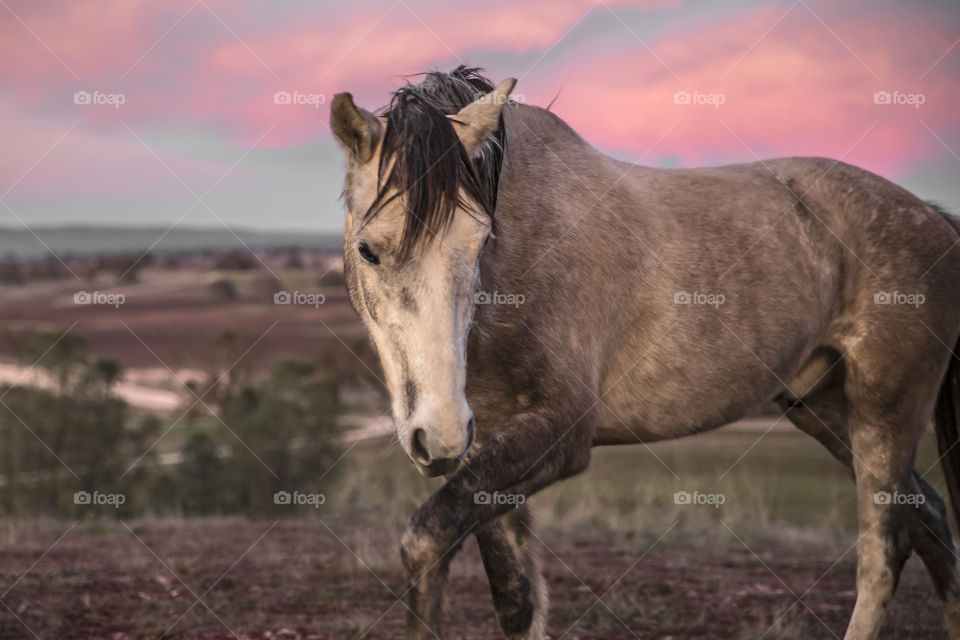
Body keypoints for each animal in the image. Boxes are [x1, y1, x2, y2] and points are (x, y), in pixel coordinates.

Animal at [330, 66, 960, 640]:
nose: (439, 434)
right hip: (827, 408)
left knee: (883, 555)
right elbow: (515, 600)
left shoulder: (558, 435)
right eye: (367, 250)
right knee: (931, 527)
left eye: (482, 240)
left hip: (885, 410)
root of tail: (935, 219)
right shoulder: (482, 449)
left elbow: (428, 539)